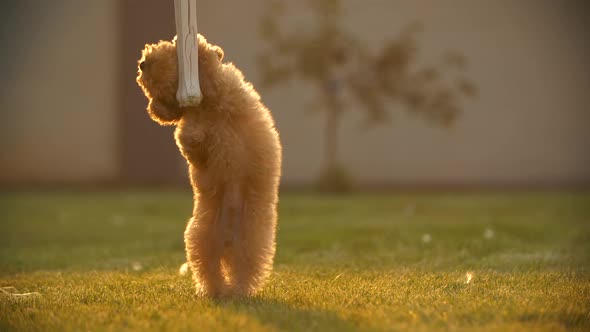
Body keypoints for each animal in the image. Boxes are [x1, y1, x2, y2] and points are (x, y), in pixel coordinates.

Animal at [138, 34, 284, 298]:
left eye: (172, 49)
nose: (143, 63)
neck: (204, 107)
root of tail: (227, 242)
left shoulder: (230, 99)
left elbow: (213, 74)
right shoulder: (198, 151)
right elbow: (190, 138)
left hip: (251, 242)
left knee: (244, 270)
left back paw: (237, 291)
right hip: (200, 240)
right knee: (210, 271)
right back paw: (216, 291)